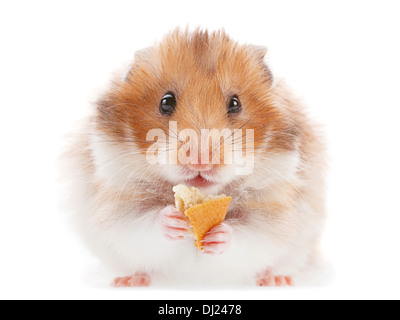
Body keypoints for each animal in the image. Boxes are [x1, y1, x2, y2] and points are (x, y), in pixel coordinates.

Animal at [62, 28, 324, 286]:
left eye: (235, 103)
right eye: (166, 102)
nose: (201, 161)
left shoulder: (272, 211)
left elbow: (247, 235)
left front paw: (219, 234)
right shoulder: (119, 204)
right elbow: (144, 224)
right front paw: (172, 220)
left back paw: (276, 280)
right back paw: (129, 281)